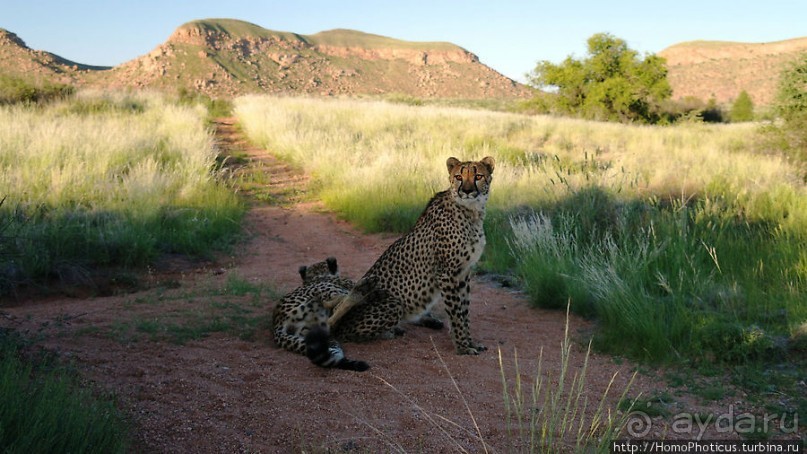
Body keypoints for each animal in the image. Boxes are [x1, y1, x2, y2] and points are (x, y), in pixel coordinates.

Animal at [326, 156, 492, 354]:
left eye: (478, 176)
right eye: (459, 176)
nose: (466, 191)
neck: (471, 212)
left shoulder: (464, 273)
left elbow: (465, 311)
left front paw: (470, 342)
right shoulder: (447, 274)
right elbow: (456, 314)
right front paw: (462, 347)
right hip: (394, 304)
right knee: (341, 330)